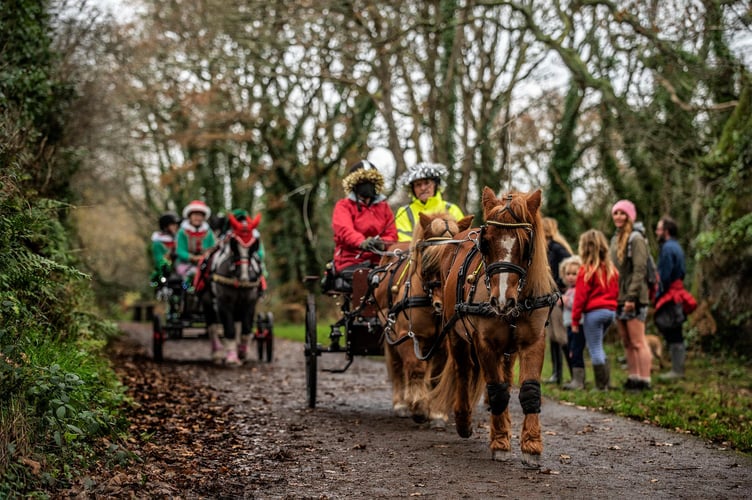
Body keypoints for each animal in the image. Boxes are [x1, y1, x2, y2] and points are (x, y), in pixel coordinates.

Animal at [209, 213, 264, 366]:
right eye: (233, 243)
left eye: (253, 245)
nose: (244, 276)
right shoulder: (224, 303)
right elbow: (229, 329)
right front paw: (232, 358)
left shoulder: (249, 303)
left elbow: (245, 329)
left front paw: (242, 353)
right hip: (207, 302)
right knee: (212, 327)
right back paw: (217, 354)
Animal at [374, 211, 472, 426]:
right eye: (427, 259)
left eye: (454, 258)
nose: (442, 304)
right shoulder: (407, 336)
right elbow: (415, 368)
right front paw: (418, 406)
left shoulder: (442, 343)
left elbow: (435, 375)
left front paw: (435, 412)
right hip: (391, 334)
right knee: (397, 366)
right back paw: (401, 404)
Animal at [428, 188, 560, 468]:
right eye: (486, 242)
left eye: (526, 243)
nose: (500, 300)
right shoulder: (484, 343)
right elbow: (496, 390)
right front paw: (500, 443)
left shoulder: (534, 341)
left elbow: (529, 391)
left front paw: (531, 445)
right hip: (455, 333)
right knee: (463, 370)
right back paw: (463, 419)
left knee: (506, 375)